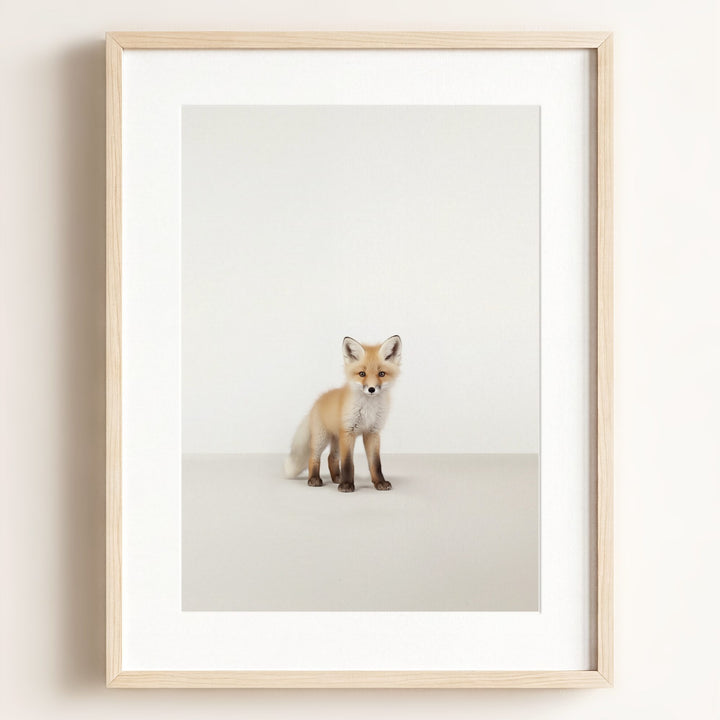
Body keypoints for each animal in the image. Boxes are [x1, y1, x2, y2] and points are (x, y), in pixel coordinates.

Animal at [284, 335, 402, 493]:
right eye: (362, 374)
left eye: (381, 374)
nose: (371, 389)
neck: (368, 408)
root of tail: (318, 400)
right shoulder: (348, 432)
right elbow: (347, 463)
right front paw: (346, 485)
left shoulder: (372, 433)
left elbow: (375, 463)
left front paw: (379, 482)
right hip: (321, 438)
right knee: (313, 457)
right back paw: (314, 479)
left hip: (337, 440)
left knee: (331, 458)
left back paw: (336, 478)